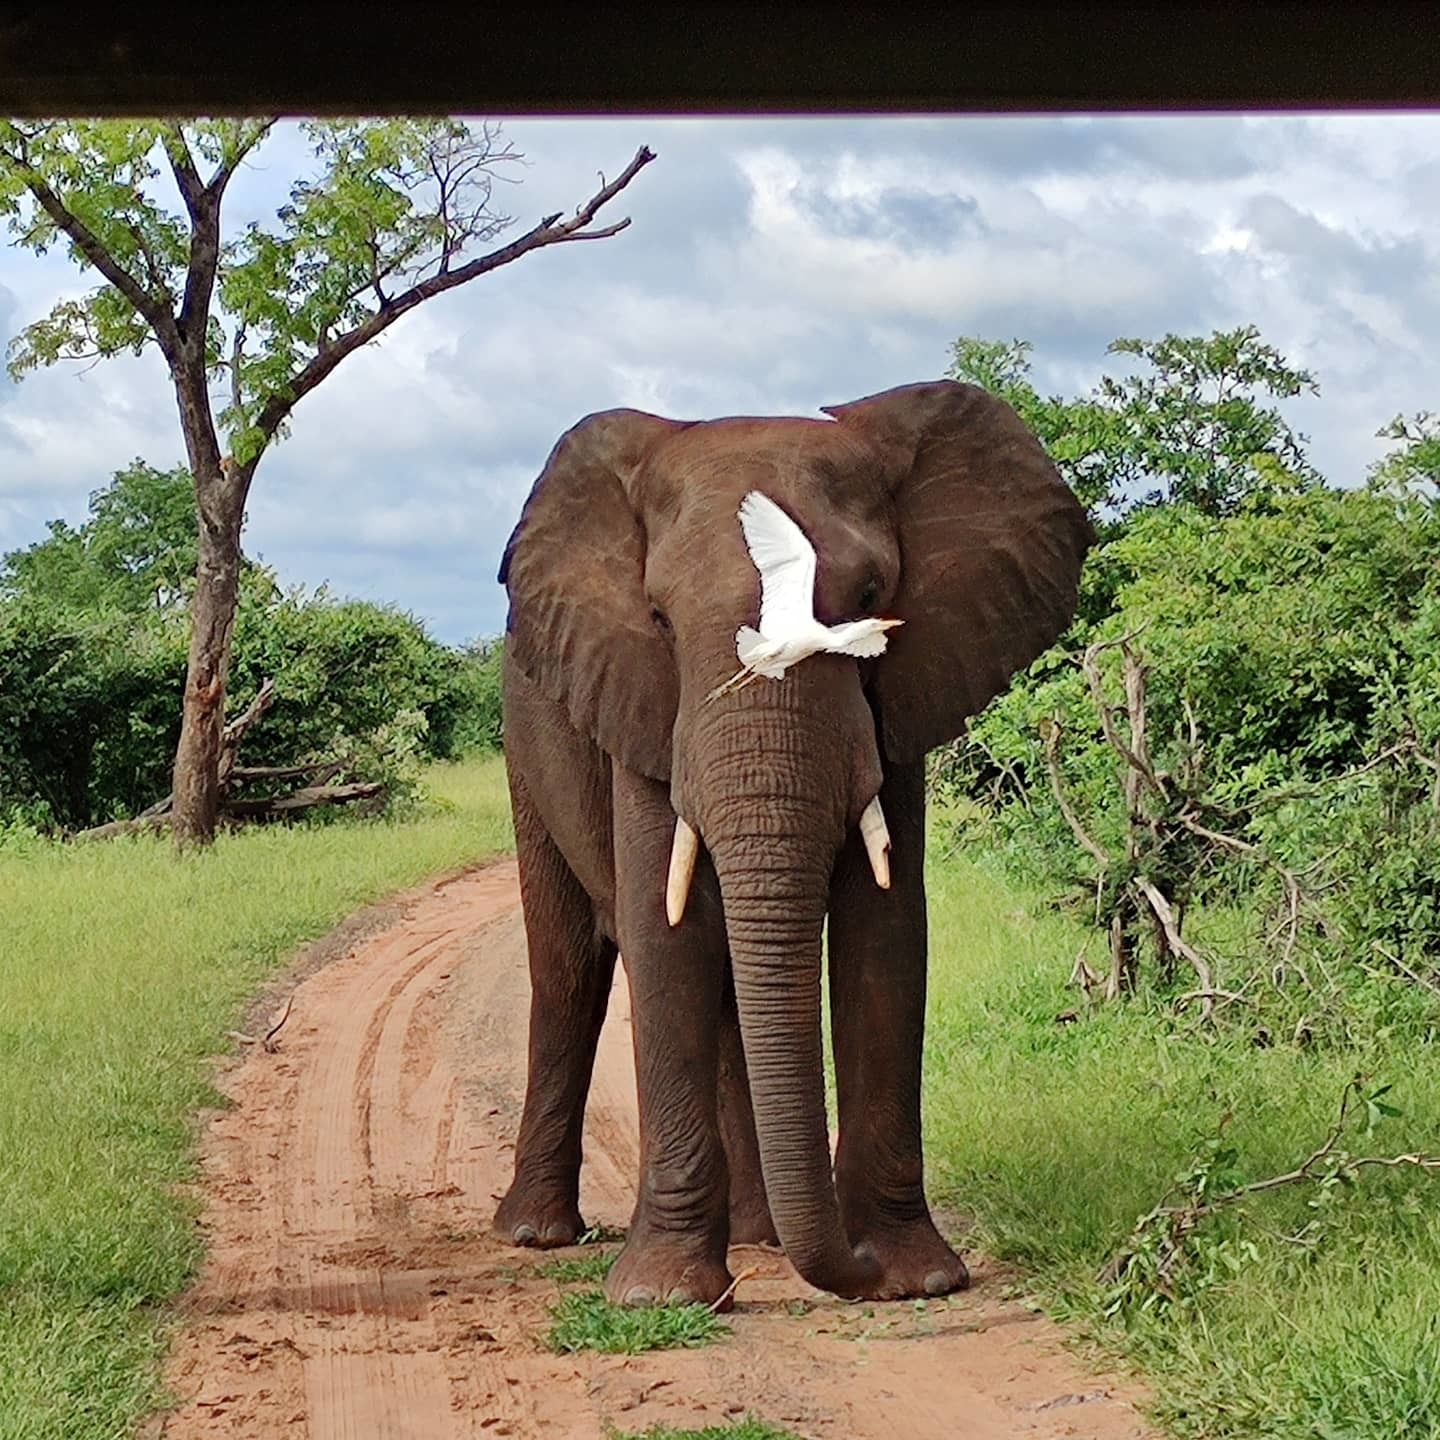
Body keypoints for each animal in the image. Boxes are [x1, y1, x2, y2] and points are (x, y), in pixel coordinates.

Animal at [489, 380, 1082, 1307]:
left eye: (876, 591)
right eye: (658, 619)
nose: (854, 1267)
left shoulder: (898, 703)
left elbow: (887, 934)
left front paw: (914, 1279)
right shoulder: (644, 705)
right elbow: (664, 934)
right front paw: (662, 1295)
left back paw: (757, 1235)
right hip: (526, 743)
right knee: (568, 968)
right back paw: (537, 1233)